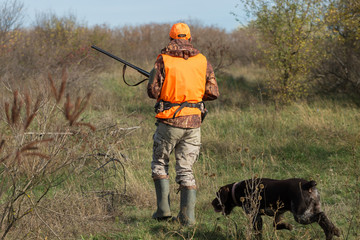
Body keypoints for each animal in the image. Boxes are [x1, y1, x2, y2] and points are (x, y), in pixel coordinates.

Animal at [212, 177, 342, 239]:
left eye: (217, 195)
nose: (212, 203)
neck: (239, 189)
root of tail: (307, 185)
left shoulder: (255, 216)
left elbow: (258, 233)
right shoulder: (278, 213)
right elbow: (276, 225)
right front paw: (287, 226)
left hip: (301, 216)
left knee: (321, 216)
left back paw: (331, 232)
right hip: (310, 210)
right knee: (323, 217)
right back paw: (332, 232)